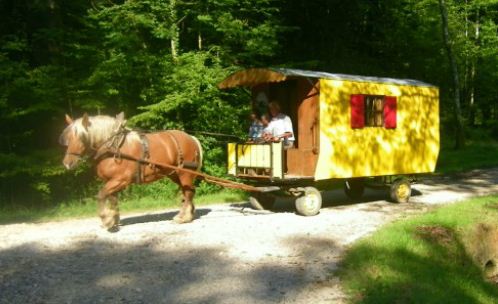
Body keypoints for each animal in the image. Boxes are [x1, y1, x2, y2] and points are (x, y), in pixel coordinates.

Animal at [59, 113, 203, 230]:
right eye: (68, 138)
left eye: (82, 137)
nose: (67, 163)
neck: (112, 148)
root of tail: (191, 138)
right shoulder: (111, 181)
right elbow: (113, 199)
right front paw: (114, 219)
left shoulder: (120, 180)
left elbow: (101, 195)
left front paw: (106, 219)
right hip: (174, 174)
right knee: (188, 191)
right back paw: (188, 213)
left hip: (185, 173)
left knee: (188, 192)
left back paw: (183, 217)